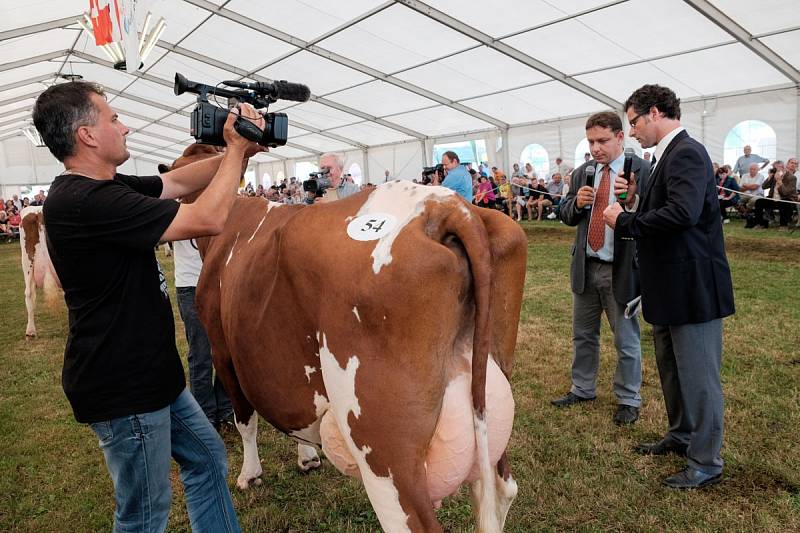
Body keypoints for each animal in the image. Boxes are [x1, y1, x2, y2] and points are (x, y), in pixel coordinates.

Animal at [170, 144, 524, 532]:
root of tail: (445, 206)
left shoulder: (222, 349)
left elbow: (245, 419)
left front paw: (250, 475)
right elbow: (293, 415)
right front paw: (308, 457)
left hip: (383, 450)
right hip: (488, 402)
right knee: (501, 491)